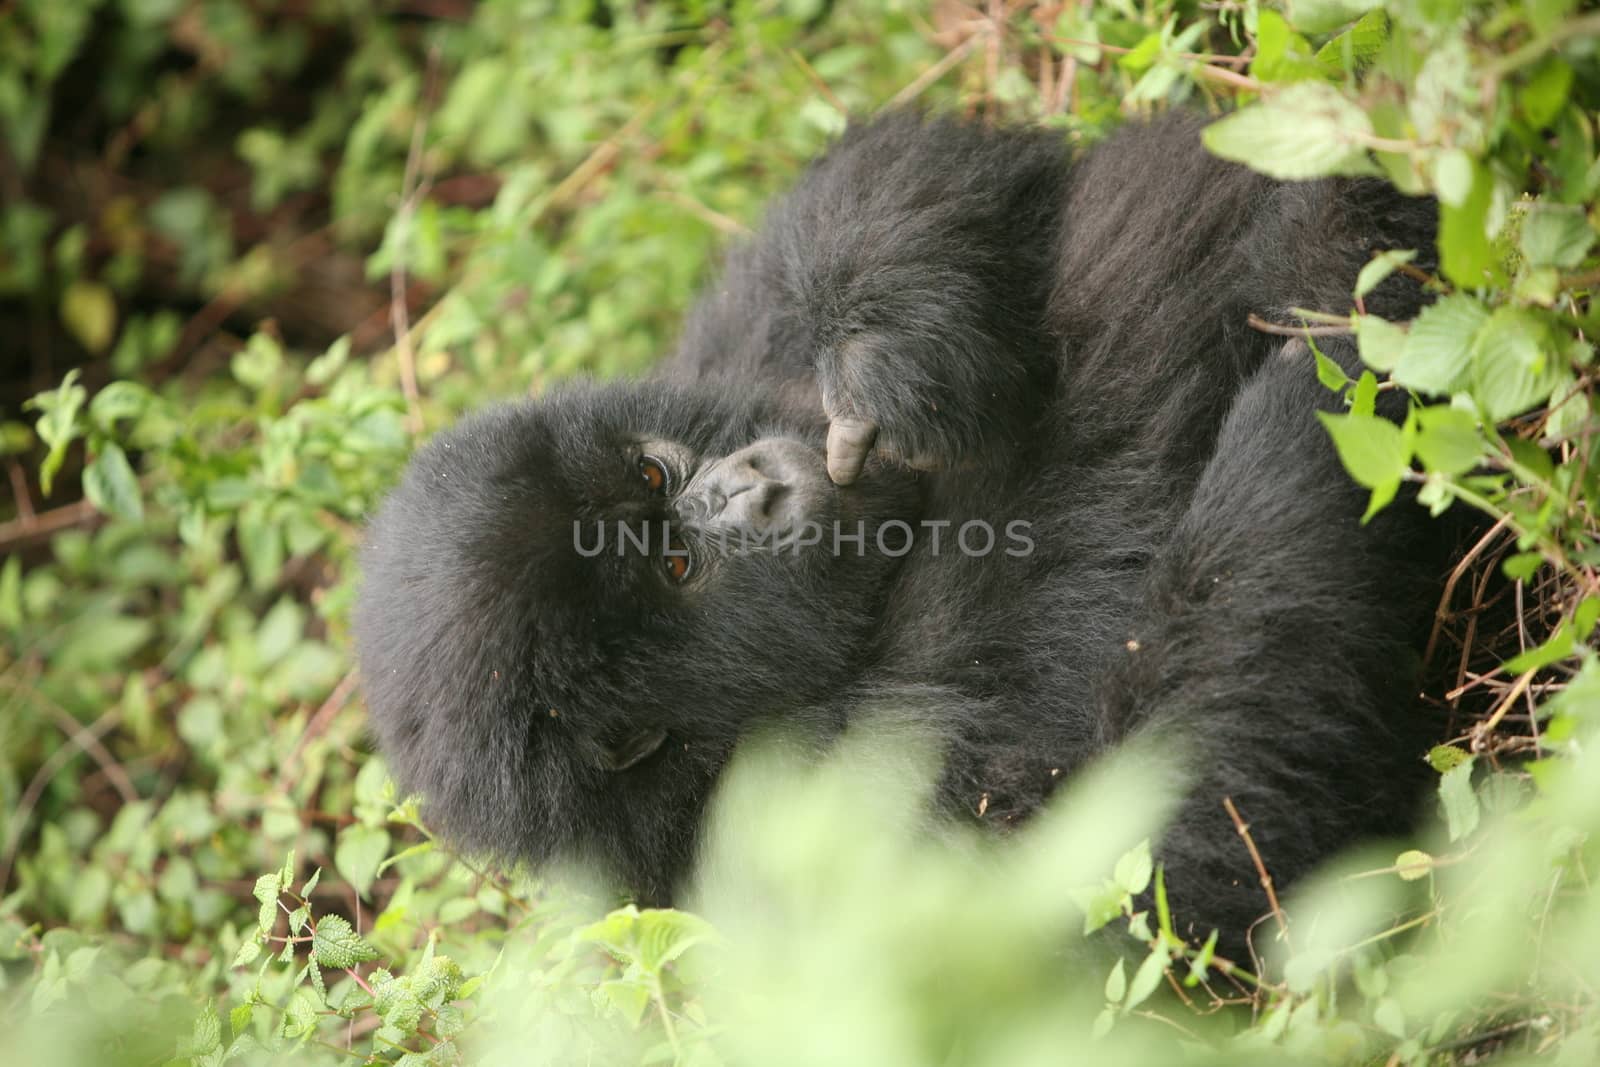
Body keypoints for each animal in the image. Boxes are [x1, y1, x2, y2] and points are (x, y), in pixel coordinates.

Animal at [353, 110, 1452, 953]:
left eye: (657, 477)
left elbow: (892, 173)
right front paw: (1330, 366)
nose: (750, 487)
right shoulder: (818, 817)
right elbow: (1161, 872)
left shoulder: (714, 362)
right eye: (681, 563)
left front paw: (885, 349)